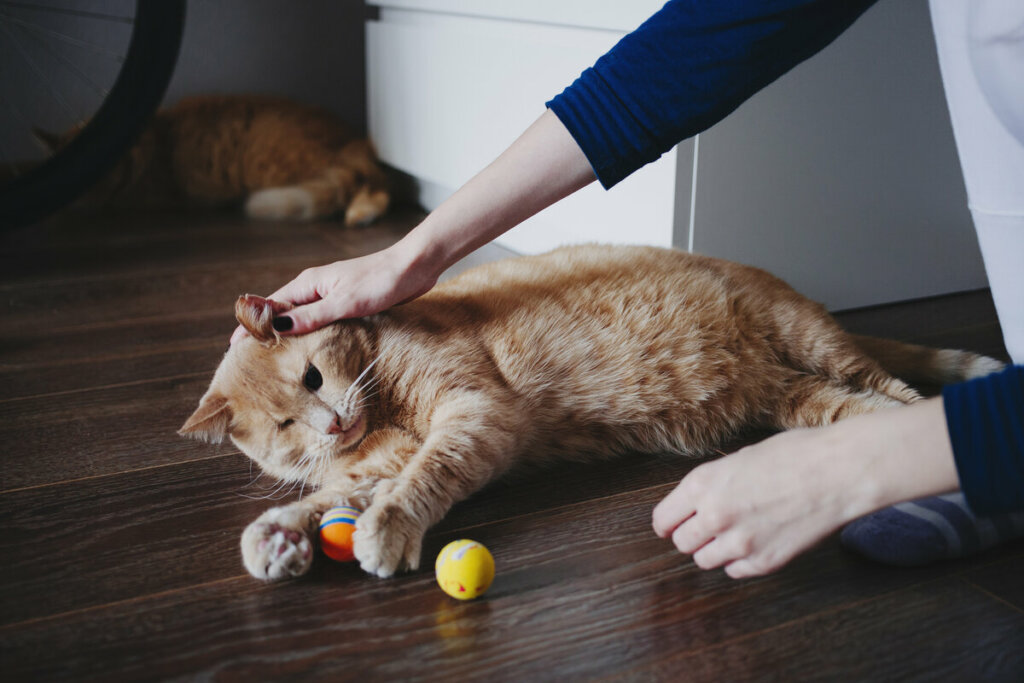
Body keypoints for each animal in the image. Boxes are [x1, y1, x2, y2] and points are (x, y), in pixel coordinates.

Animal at [36, 96, 387, 225]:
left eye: (100, 163)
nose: (87, 185)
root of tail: (353, 138)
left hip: (268, 166)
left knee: (373, 188)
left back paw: (359, 214)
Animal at [180, 242, 1003, 581]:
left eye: (314, 377)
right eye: (285, 429)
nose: (330, 425)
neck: (377, 412)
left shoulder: (473, 414)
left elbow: (421, 478)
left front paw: (386, 527)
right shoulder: (377, 458)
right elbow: (329, 494)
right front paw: (278, 535)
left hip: (813, 341)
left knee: (902, 395)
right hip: (804, 401)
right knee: (866, 411)